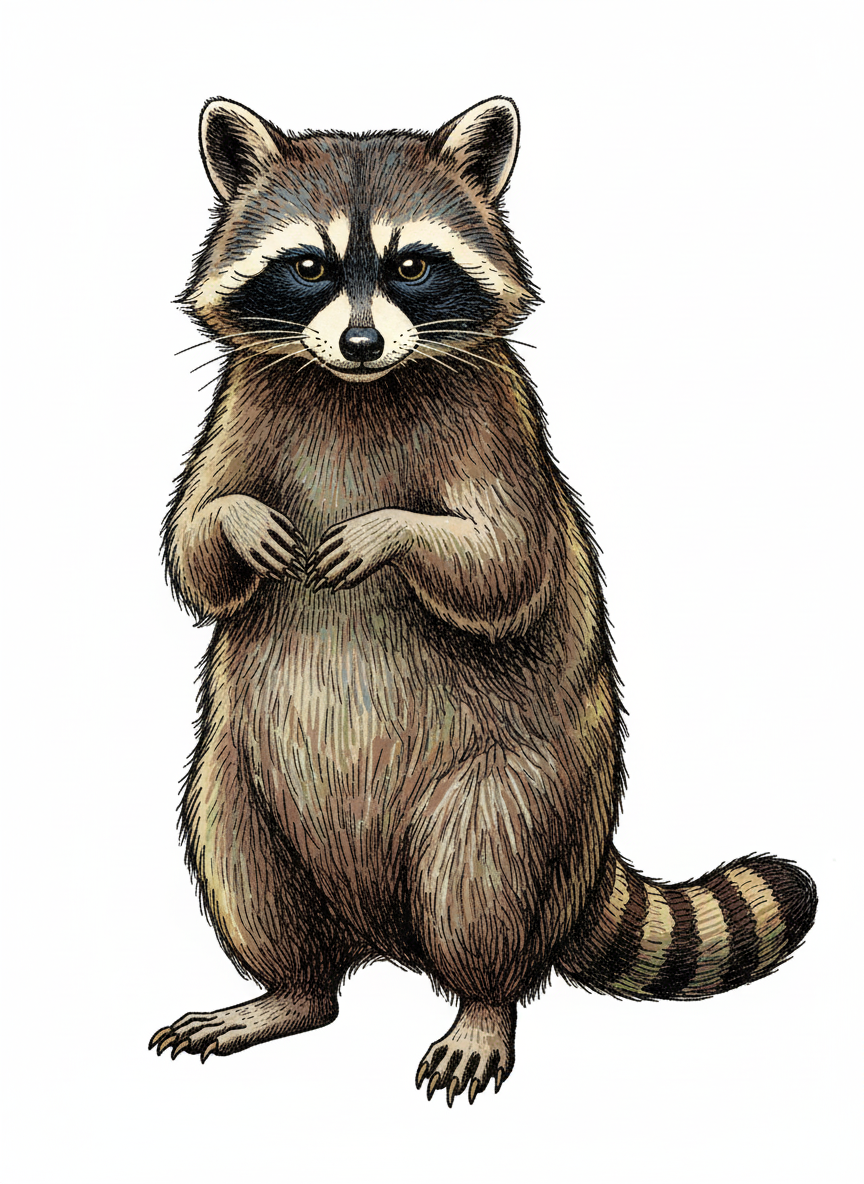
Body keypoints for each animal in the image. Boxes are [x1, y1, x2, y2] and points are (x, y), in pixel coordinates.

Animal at [150, 97, 817, 1105]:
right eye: (308, 267)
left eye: (411, 266)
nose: (359, 343)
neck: (357, 388)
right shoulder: (238, 411)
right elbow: (194, 550)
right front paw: (235, 522)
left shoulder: (500, 425)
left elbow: (506, 567)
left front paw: (390, 531)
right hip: (238, 782)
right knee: (240, 858)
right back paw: (288, 991)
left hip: (523, 795)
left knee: (481, 882)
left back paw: (481, 1002)